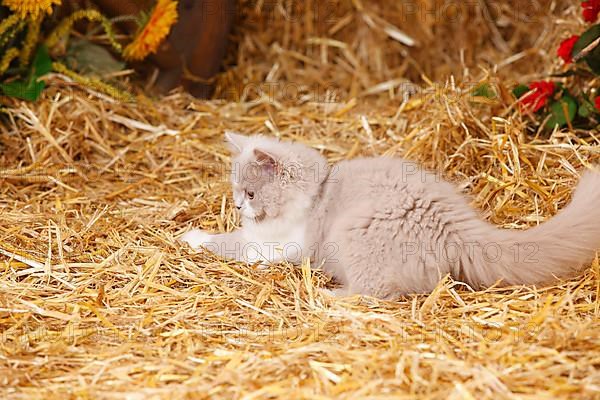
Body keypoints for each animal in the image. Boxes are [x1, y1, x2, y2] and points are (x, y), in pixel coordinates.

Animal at [180, 133, 600, 298]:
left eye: (250, 193)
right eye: (235, 192)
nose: (238, 206)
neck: (315, 195)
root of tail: (454, 226)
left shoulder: (278, 245)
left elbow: (229, 244)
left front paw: (191, 237)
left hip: (353, 235)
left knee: (373, 293)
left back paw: (327, 295)